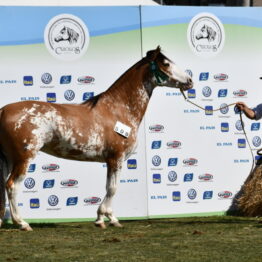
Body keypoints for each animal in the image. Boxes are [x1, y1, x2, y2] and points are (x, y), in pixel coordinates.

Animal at [0, 46, 192, 230]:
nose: (190, 81)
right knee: (12, 185)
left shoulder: (110, 160)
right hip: (24, 157)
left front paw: (105, 218)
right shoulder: (116, 158)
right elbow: (112, 188)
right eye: (166, 63)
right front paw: (106, 219)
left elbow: (109, 187)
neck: (118, 109)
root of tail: (3, 110)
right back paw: (22, 223)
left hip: (7, 159)